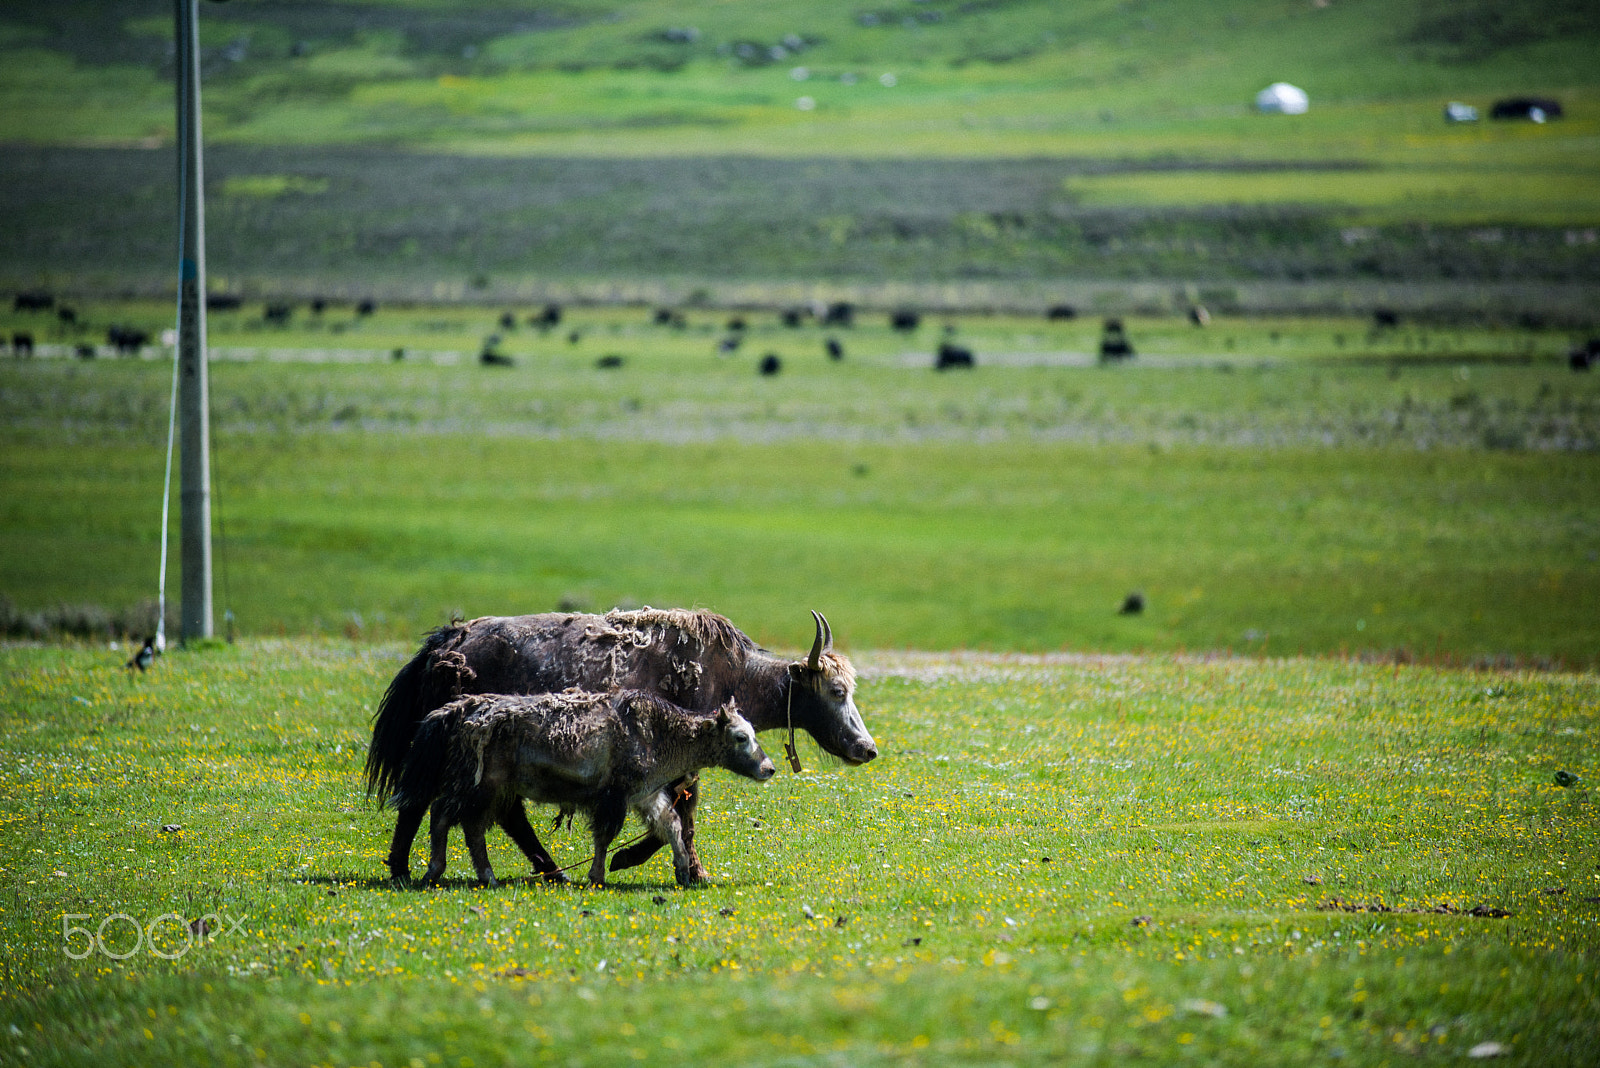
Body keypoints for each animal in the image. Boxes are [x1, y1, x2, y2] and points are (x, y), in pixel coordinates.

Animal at [387, 693, 774, 882]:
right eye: (741, 737)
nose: (769, 768)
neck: (660, 733)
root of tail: (455, 711)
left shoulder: (645, 794)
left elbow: (672, 825)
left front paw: (683, 872)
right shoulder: (614, 797)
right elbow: (604, 836)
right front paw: (597, 875)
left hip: (492, 790)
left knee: (471, 826)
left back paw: (483, 874)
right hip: (478, 784)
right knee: (444, 814)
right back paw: (440, 870)